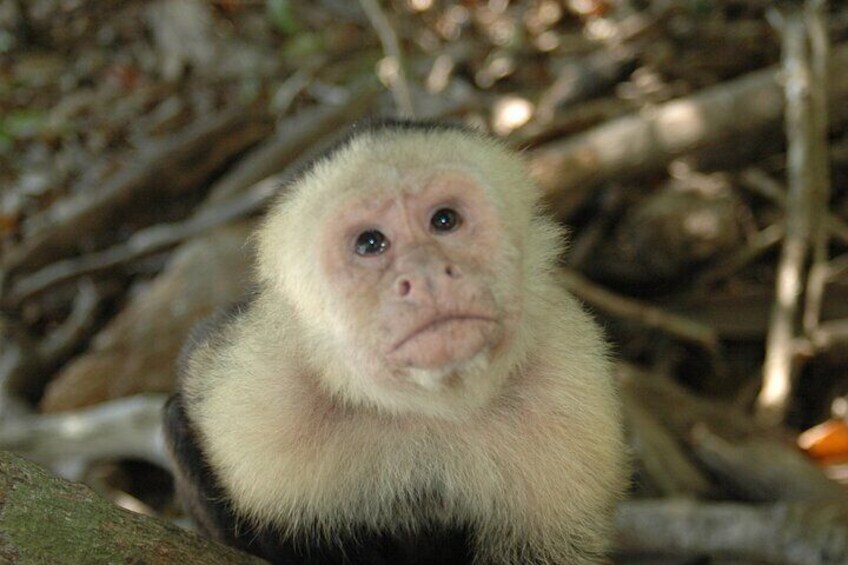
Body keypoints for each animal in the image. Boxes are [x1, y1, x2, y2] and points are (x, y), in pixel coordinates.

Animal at [164, 120, 628, 564]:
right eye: (371, 242)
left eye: (444, 220)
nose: (425, 273)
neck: (425, 408)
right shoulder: (254, 399)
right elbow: (188, 398)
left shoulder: (571, 386)